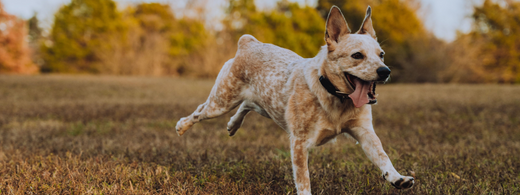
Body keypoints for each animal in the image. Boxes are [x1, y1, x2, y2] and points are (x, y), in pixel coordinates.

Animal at [175, 5, 414, 194]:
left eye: (381, 54)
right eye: (357, 55)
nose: (385, 71)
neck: (335, 99)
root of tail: (248, 42)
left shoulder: (364, 131)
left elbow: (382, 155)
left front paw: (396, 178)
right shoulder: (299, 142)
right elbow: (303, 179)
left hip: (266, 105)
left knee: (246, 105)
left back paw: (233, 125)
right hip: (222, 101)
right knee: (200, 111)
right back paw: (182, 126)